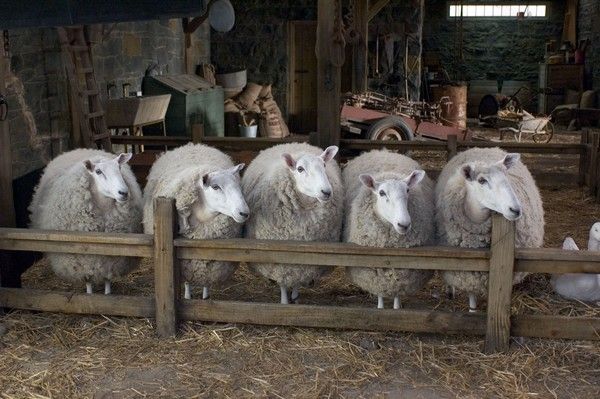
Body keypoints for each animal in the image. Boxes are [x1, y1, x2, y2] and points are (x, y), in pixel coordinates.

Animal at [29, 148, 144, 296]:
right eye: (98, 171)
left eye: (119, 167)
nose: (123, 193)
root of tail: (78, 149)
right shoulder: (83, 259)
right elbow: (88, 280)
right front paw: (89, 295)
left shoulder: (111, 258)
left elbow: (107, 278)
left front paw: (108, 295)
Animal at [143, 144, 248, 300]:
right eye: (215, 187)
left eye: (238, 186)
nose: (245, 213)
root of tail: (193, 145)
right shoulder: (184, 260)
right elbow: (187, 281)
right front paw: (187, 296)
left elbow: (206, 280)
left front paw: (205, 297)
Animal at [240, 143, 342, 304]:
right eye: (300, 169)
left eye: (324, 165)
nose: (326, 192)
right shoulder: (280, 259)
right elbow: (283, 283)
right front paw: (285, 302)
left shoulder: (302, 262)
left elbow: (297, 281)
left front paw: (295, 298)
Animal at [342, 150, 436, 310]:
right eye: (381, 193)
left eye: (408, 190)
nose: (404, 224)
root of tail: (381, 151)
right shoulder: (376, 274)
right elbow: (380, 294)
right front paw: (381, 308)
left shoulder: (400, 274)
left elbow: (397, 296)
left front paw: (397, 308)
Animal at [434, 148, 548, 312]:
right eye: (481, 180)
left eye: (506, 176)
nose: (516, 210)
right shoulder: (468, 272)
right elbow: (472, 296)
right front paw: (472, 310)